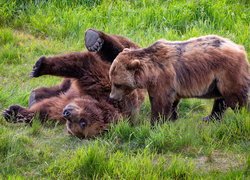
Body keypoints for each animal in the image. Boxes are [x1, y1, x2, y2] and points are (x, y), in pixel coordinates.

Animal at [3, 29, 145, 138]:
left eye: (82, 123)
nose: (67, 114)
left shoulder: (65, 105)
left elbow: (48, 109)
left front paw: (13, 113)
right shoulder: (103, 85)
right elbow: (82, 65)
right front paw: (40, 66)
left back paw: (35, 96)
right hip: (127, 57)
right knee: (116, 50)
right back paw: (94, 39)